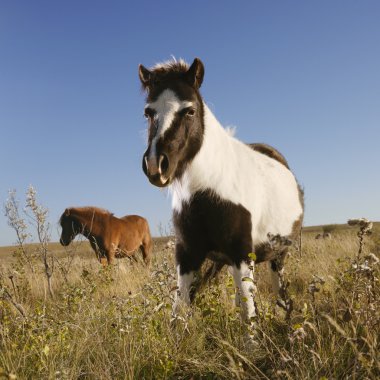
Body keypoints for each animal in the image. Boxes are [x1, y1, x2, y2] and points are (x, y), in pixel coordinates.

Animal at [138, 57, 304, 324]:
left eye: (190, 110)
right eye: (148, 112)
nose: (156, 165)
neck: (206, 190)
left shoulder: (242, 254)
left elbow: (248, 315)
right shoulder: (187, 254)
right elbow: (179, 311)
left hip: (278, 255)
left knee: (279, 290)